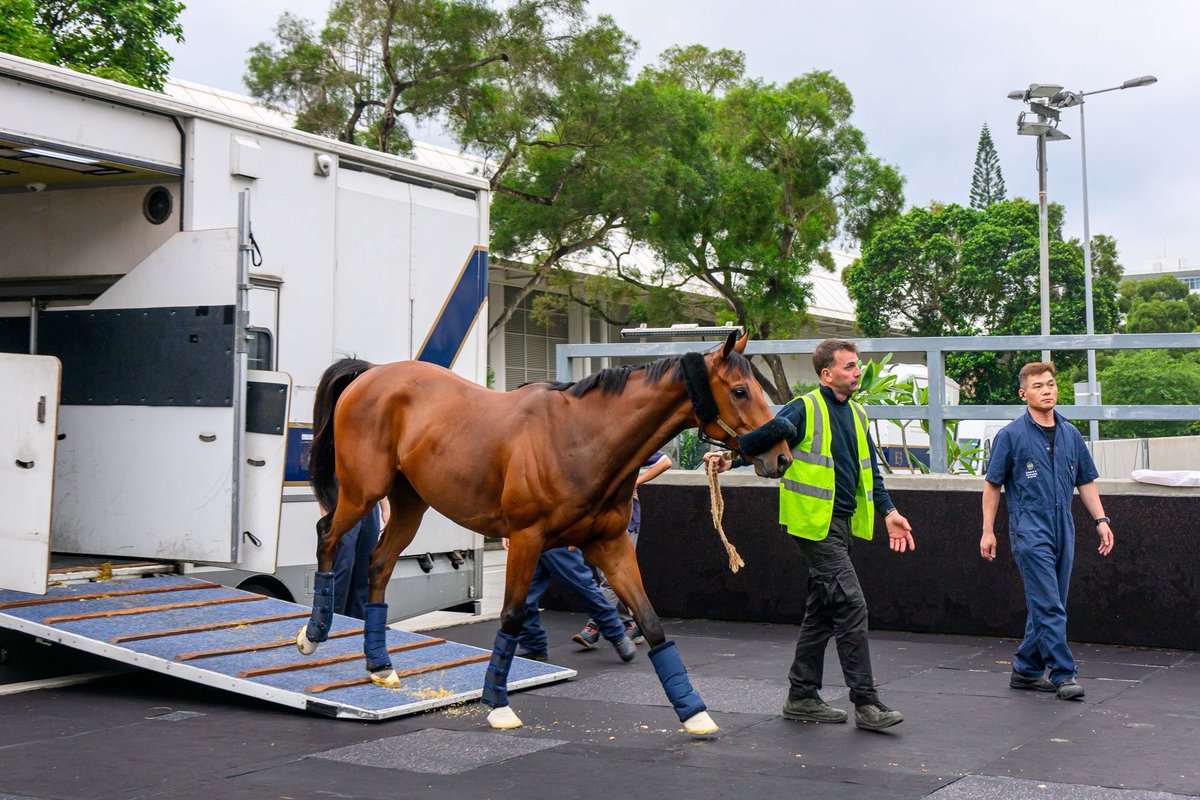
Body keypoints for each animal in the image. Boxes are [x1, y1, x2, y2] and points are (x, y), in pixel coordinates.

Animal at [295, 328, 792, 734]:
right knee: (326, 535)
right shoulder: (526, 538)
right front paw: (498, 704)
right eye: (741, 390)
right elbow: (513, 615)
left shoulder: (610, 544)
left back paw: (380, 664)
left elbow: (650, 621)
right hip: (363, 492)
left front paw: (693, 710)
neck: (582, 436)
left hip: (409, 504)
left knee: (379, 564)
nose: (783, 457)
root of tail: (371, 375)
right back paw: (314, 633)